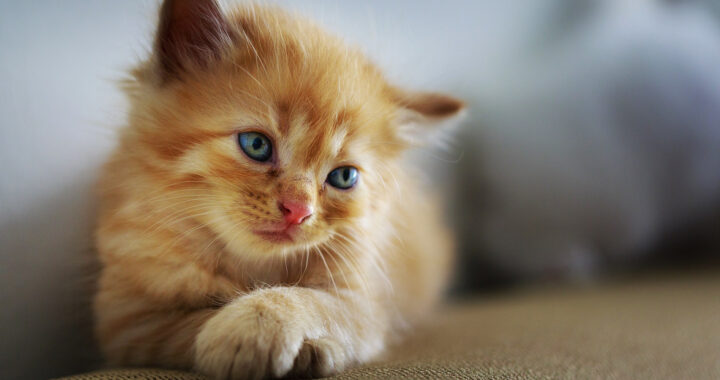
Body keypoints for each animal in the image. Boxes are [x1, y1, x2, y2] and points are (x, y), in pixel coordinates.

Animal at [93, 1, 464, 378]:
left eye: (344, 177)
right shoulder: (129, 321)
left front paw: (257, 325)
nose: (298, 211)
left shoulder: (363, 302)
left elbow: (309, 299)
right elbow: (187, 325)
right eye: (256, 145)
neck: (254, 265)